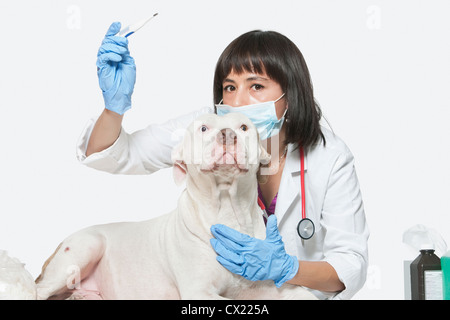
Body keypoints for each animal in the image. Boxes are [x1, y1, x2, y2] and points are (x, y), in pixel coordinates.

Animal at [35, 113, 316, 300]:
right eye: (203, 128)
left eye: (244, 127)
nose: (227, 135)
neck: (227, 210)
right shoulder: (199, 291)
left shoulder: (269, 286)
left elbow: (302, 292)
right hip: (86, 246)